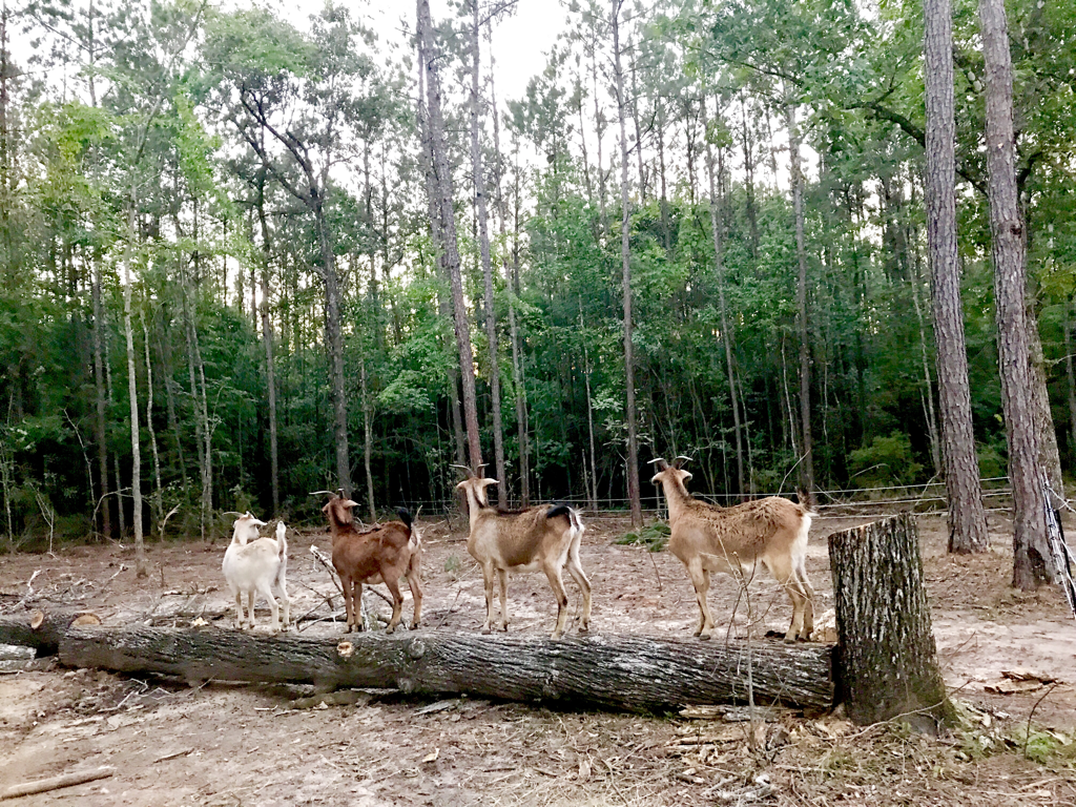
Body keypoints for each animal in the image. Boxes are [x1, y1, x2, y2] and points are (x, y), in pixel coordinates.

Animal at [321, 495, 422, 633]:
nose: (323, 511)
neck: (342, 536)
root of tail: (408, 532)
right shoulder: (357, 578)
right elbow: (357, 599)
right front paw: (358, 626)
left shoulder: (344, 575)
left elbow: (347, 597)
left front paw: (348, 626)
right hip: (412, 568)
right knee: (418, 593)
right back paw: (414, 624)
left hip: (389, 573)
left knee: (399, 597)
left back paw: (391, 626)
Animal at [456, 474, 591, 639]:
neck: (480, 517)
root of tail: (570, 515)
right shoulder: (501, 567)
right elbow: (503, 594)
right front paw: (503, 625)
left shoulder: (486, 562)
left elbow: (488, 592)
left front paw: (487, 626)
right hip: (571, 558)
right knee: (586, 585)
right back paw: (583, 625)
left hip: (551, 564)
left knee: (563, 598)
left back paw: (556, 633)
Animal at [650, 457, 814, 641]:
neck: (682, 511)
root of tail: (800, 510)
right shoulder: (702, 566)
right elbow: (699, 592)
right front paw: (698, 629)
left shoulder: (693, 560)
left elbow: (701, 591)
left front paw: (706, 630)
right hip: (798, 560)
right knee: (809, 591)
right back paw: (805, 633)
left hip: (781, 562)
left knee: (800, 596)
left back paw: (791, 634)